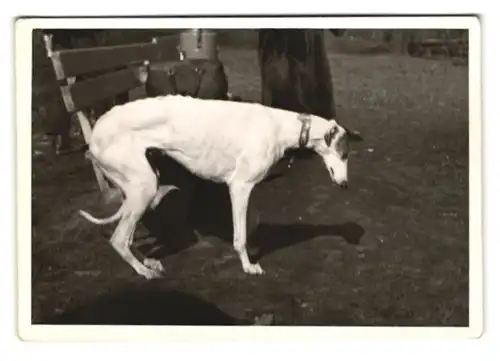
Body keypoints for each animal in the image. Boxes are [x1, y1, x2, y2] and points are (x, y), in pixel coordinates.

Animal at [80, 95, 362, 278]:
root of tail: (95, 131)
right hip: (145, 187)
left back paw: (148, 261)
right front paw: (248, 266)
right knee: (119, 239)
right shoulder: (239, 186)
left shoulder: (245, 188)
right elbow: (240, 237)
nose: (345, 184)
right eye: (344, 153)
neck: (282, 126)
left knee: (127, 236)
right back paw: (144, 271)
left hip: (141, 188)